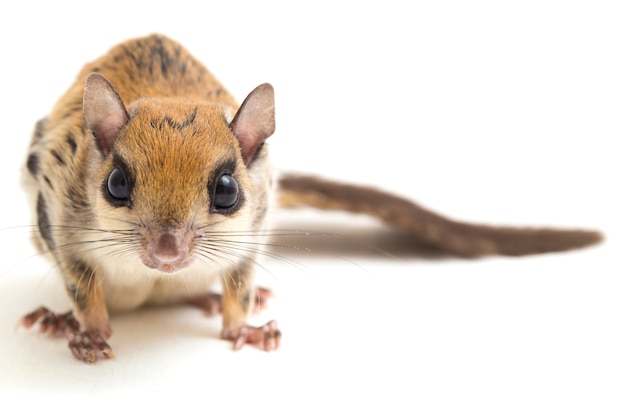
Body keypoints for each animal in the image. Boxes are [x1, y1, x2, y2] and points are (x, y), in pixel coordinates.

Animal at [19, 34, 604, 362]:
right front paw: (87, 333)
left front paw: (245, 327)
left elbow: (239, 290)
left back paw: (207, 298)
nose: (167, 253)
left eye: (226, 191)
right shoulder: (62, 221)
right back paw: (57, 319)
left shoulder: (249, 240)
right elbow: (84, 289)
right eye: (117, 185)